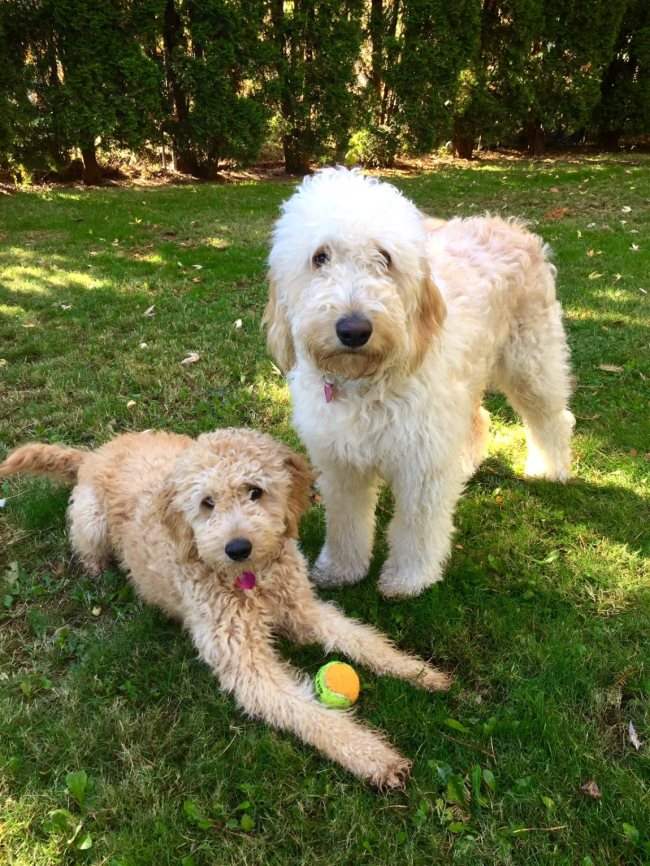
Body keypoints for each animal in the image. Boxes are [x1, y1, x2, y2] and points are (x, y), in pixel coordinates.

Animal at [264, 170, 572, 600]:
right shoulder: (341, 463)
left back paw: (550, 468)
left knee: (551, 417)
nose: (354, 329)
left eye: (385, 257)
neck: (365, 382)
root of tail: (510, 224)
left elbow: (417, 528)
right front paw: (340, 568)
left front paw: (409, 578)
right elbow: (346, 521)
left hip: (531, 363)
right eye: (319, 256)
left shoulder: (421, 463)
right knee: (477, 419)